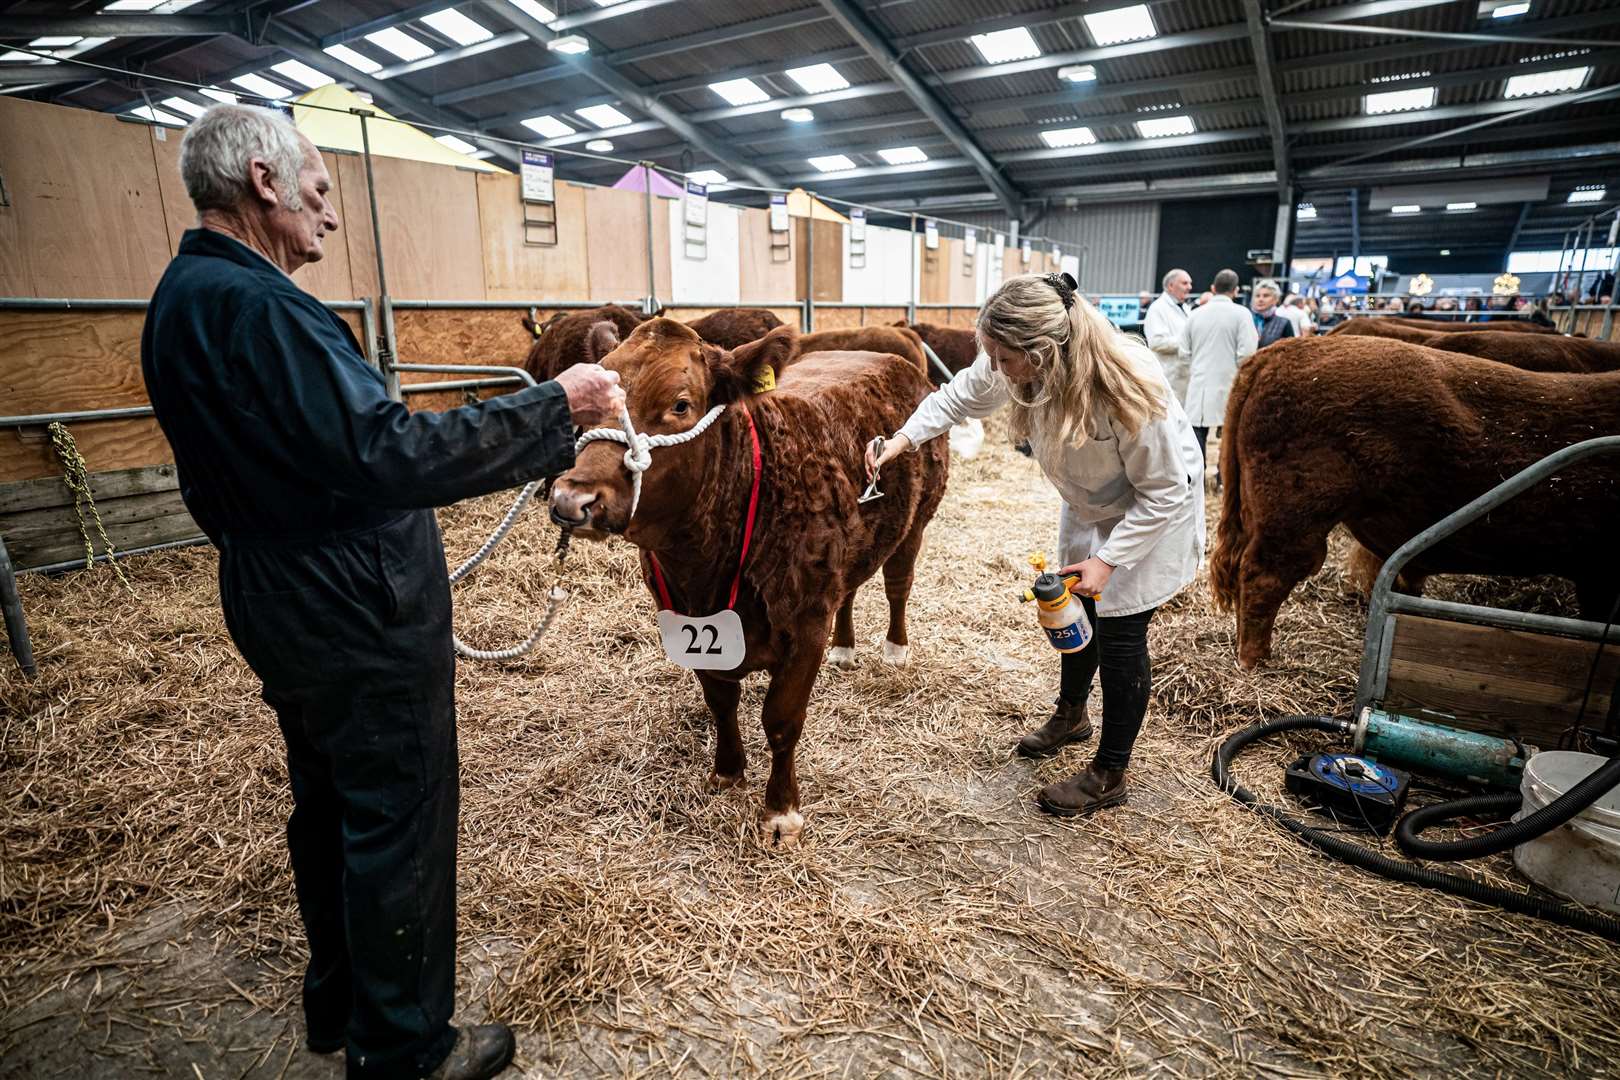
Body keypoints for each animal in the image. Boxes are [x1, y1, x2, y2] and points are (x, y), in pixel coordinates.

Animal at [550, 317, 946, 848]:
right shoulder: (690, 626)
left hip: (916, 522)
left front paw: (781, 811)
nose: (573, 499)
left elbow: (781, 720)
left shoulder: (804, 627)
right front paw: (727, 771)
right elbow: (720, 702)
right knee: (849, 590)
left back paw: (895, 649)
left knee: (897, 585)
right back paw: (844, 648)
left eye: (680, 404)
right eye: (591, 402)